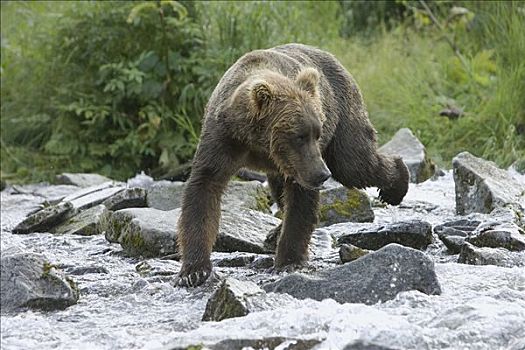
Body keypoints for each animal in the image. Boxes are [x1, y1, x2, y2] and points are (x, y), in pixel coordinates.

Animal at [174, 43, 408, 288]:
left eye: (317, 132)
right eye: (299, 136)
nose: (322, 174)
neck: (257, 143)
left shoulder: (301, 164)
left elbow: (301, 201)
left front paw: (289, 261)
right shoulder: (223, 139)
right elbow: (204, 189)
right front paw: (194, 271)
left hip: (343, 112)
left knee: (354, 164)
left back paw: (396, 184)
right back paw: (275, 233)